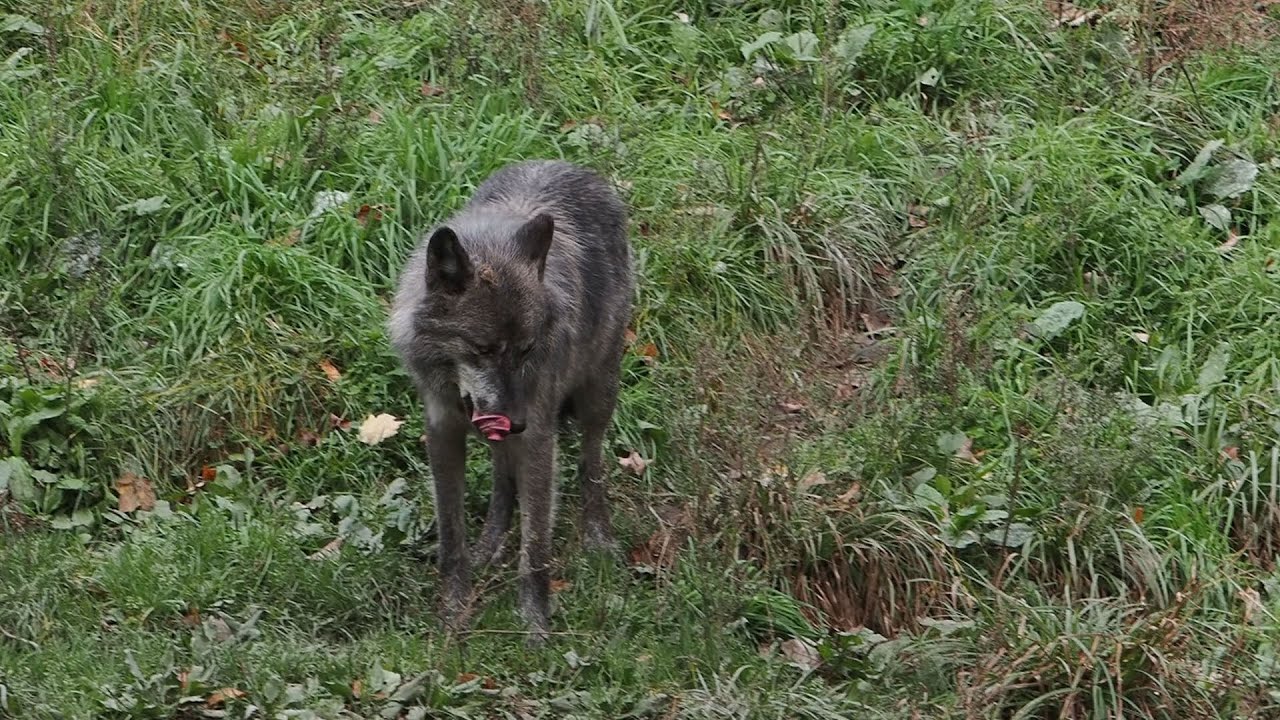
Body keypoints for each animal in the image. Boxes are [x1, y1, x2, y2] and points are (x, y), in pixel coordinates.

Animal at [388, 159, 634, 642]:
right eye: (482, 349)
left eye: (526, 349)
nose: (517, 421)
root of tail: (571, 166)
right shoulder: (443, 433)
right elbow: (452, 536)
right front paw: (453, 612)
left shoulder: (538, 437)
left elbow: (535, 545)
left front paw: (535, 625)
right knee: (504, 479)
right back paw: (491, 543)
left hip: (598, 394)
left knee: (591, 463)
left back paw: (598, 535)